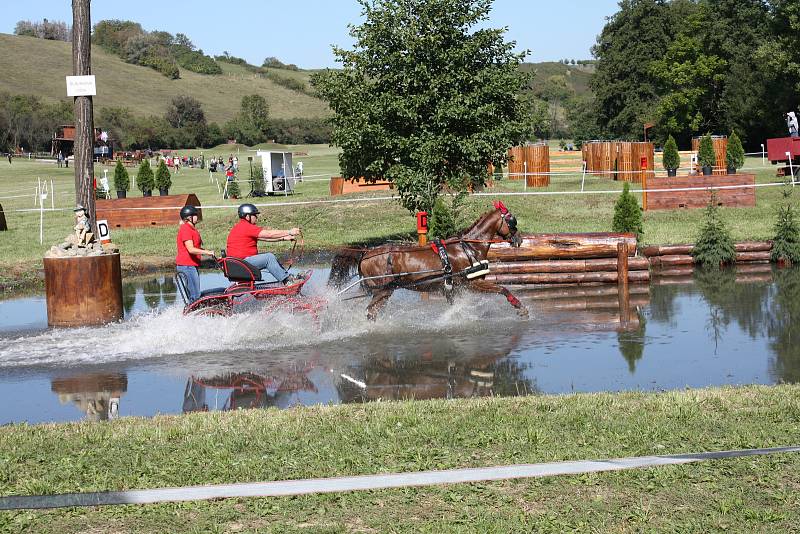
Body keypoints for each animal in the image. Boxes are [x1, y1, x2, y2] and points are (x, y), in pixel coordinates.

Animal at [346, 204, 528, 322]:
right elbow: (502, 289)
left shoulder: (456, 288)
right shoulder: (472, 283)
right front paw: (521, 308)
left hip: (379, 291)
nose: (519, 239)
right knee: (371, 311)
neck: (468, 247)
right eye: (512, 221)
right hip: (382, 290)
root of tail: (366, 253)